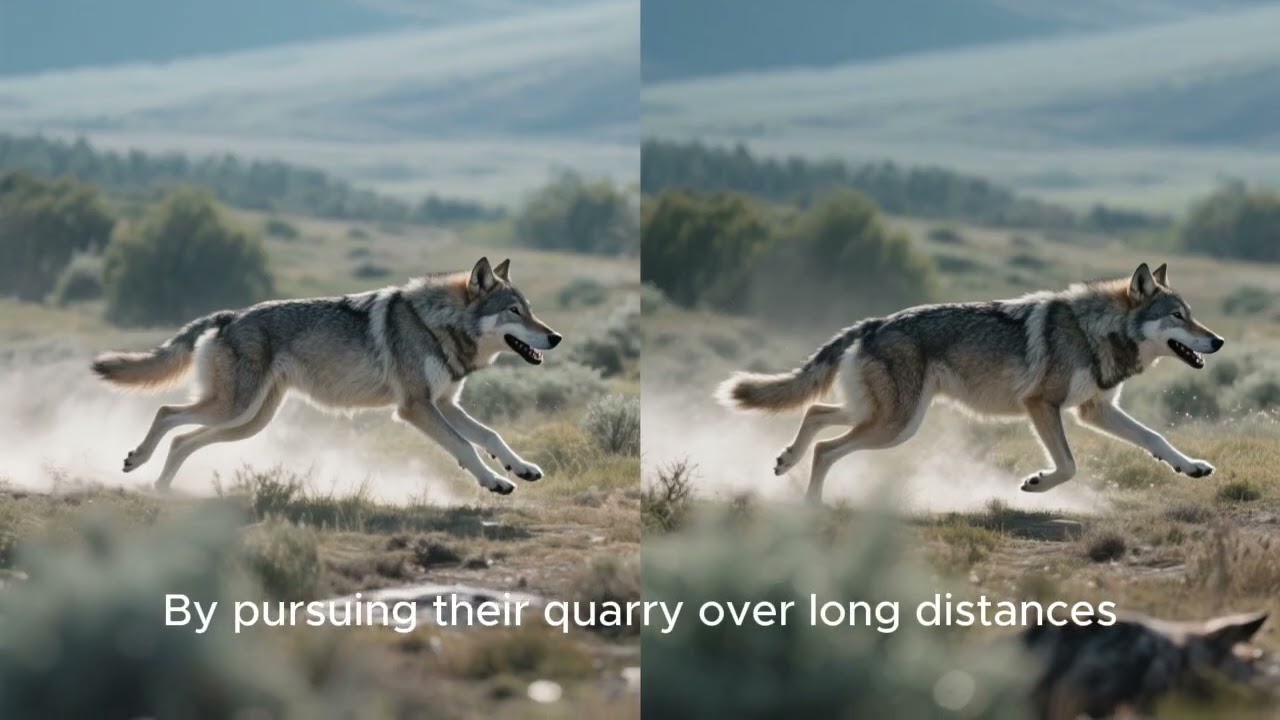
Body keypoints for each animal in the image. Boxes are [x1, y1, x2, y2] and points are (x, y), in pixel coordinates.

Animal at [92, 257, 562, 494]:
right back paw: (137, 462)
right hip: (233, 409)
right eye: (514, 311)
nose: (555, 336)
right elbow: (465, 446)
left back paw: (162, 486)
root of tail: (227, 316)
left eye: (531, 309)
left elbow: (491, 436)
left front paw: (521, 468)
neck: (436, 324)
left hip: (247, 422)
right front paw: (495, 481)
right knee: (167, 413)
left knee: (183, 440)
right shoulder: (416, 408)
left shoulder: (445, 403)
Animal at [717, 263, 1224, 501]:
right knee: (825, 447)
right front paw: (1036, 483)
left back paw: (786, 460)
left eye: (1192, 314)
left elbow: (1155, 438)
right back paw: (811, 505)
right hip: (895, 427)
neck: (1093, 330)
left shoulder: (1094, 410)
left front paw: (1191, 467)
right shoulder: (1042, 405)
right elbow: (1068, 466)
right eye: (1178, 316)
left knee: (815, 412)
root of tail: (871, 323)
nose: (1218, 340)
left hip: (888, 419)